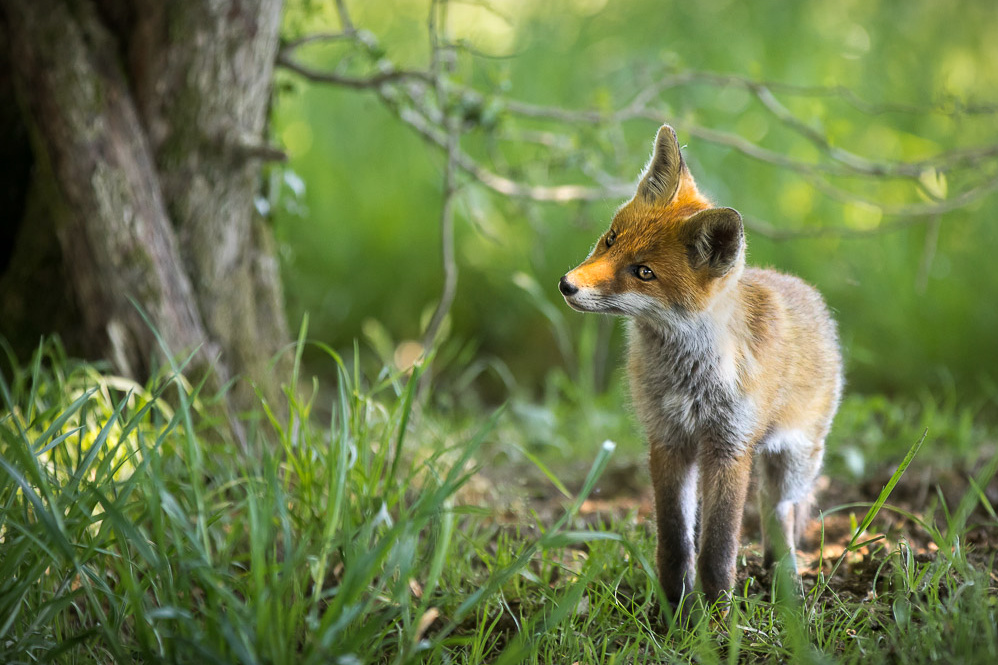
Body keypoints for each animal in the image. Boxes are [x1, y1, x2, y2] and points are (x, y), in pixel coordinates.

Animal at [558, 125, 843, 609]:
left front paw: (717, 612)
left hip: (794, 459)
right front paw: (675, 607)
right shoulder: (668, 441)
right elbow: (675, 541)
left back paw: (785, 574)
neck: (688, 378)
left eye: (644, 272)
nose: (566, 285)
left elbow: (718, 545)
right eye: (611, 239)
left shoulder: (729, 447)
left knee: (779, 509)